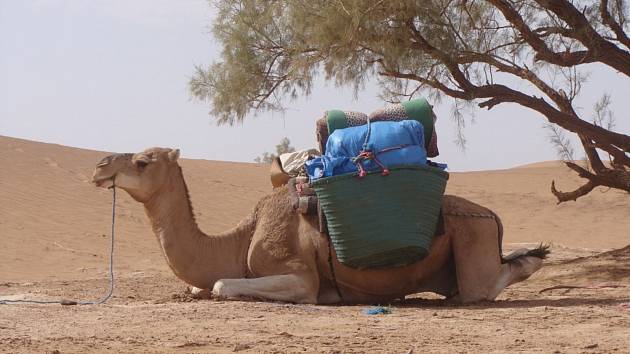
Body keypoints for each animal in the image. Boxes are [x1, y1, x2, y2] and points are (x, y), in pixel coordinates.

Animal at [91, 147, 552, 304]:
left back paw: (536, 254)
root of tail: (493, 216)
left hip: (472, 237)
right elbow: (200, 286)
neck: (239, 239)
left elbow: (222, 285)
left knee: (487, 285)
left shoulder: (298, 275)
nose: (99, 168)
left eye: (142, 162)